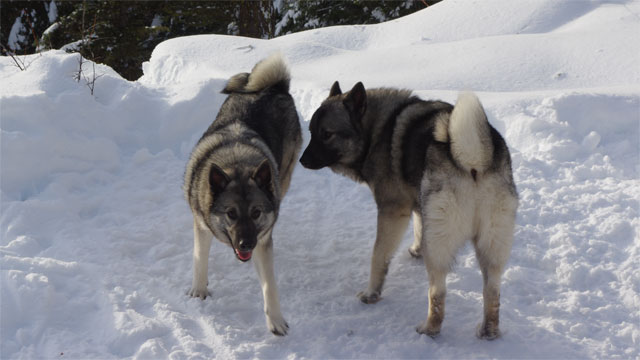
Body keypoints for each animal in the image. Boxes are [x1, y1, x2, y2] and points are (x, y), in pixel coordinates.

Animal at [184, 53, 302, 334]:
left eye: (256, 212)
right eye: (231, 213)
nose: (246, 244)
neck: (236, 164)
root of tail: (274, 87)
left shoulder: (263, 242)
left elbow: (270, 285)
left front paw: (276, 320)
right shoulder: (200, 224)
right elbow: (199, 259)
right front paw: (199, 291)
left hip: (285, 175)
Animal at [302, 81, 520, 338]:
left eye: (327, 134)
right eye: (311, 131)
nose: (302, 160)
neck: (377, 131)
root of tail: (473, 160)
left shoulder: (392, 211)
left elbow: (379, 255)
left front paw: (371, 293)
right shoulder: (417, 202)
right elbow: (418, 224)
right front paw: (416, 250)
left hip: (438, 246)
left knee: (437, 293)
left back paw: (428, 328)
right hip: (492, 246)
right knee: (492, 292)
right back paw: (488, 331)